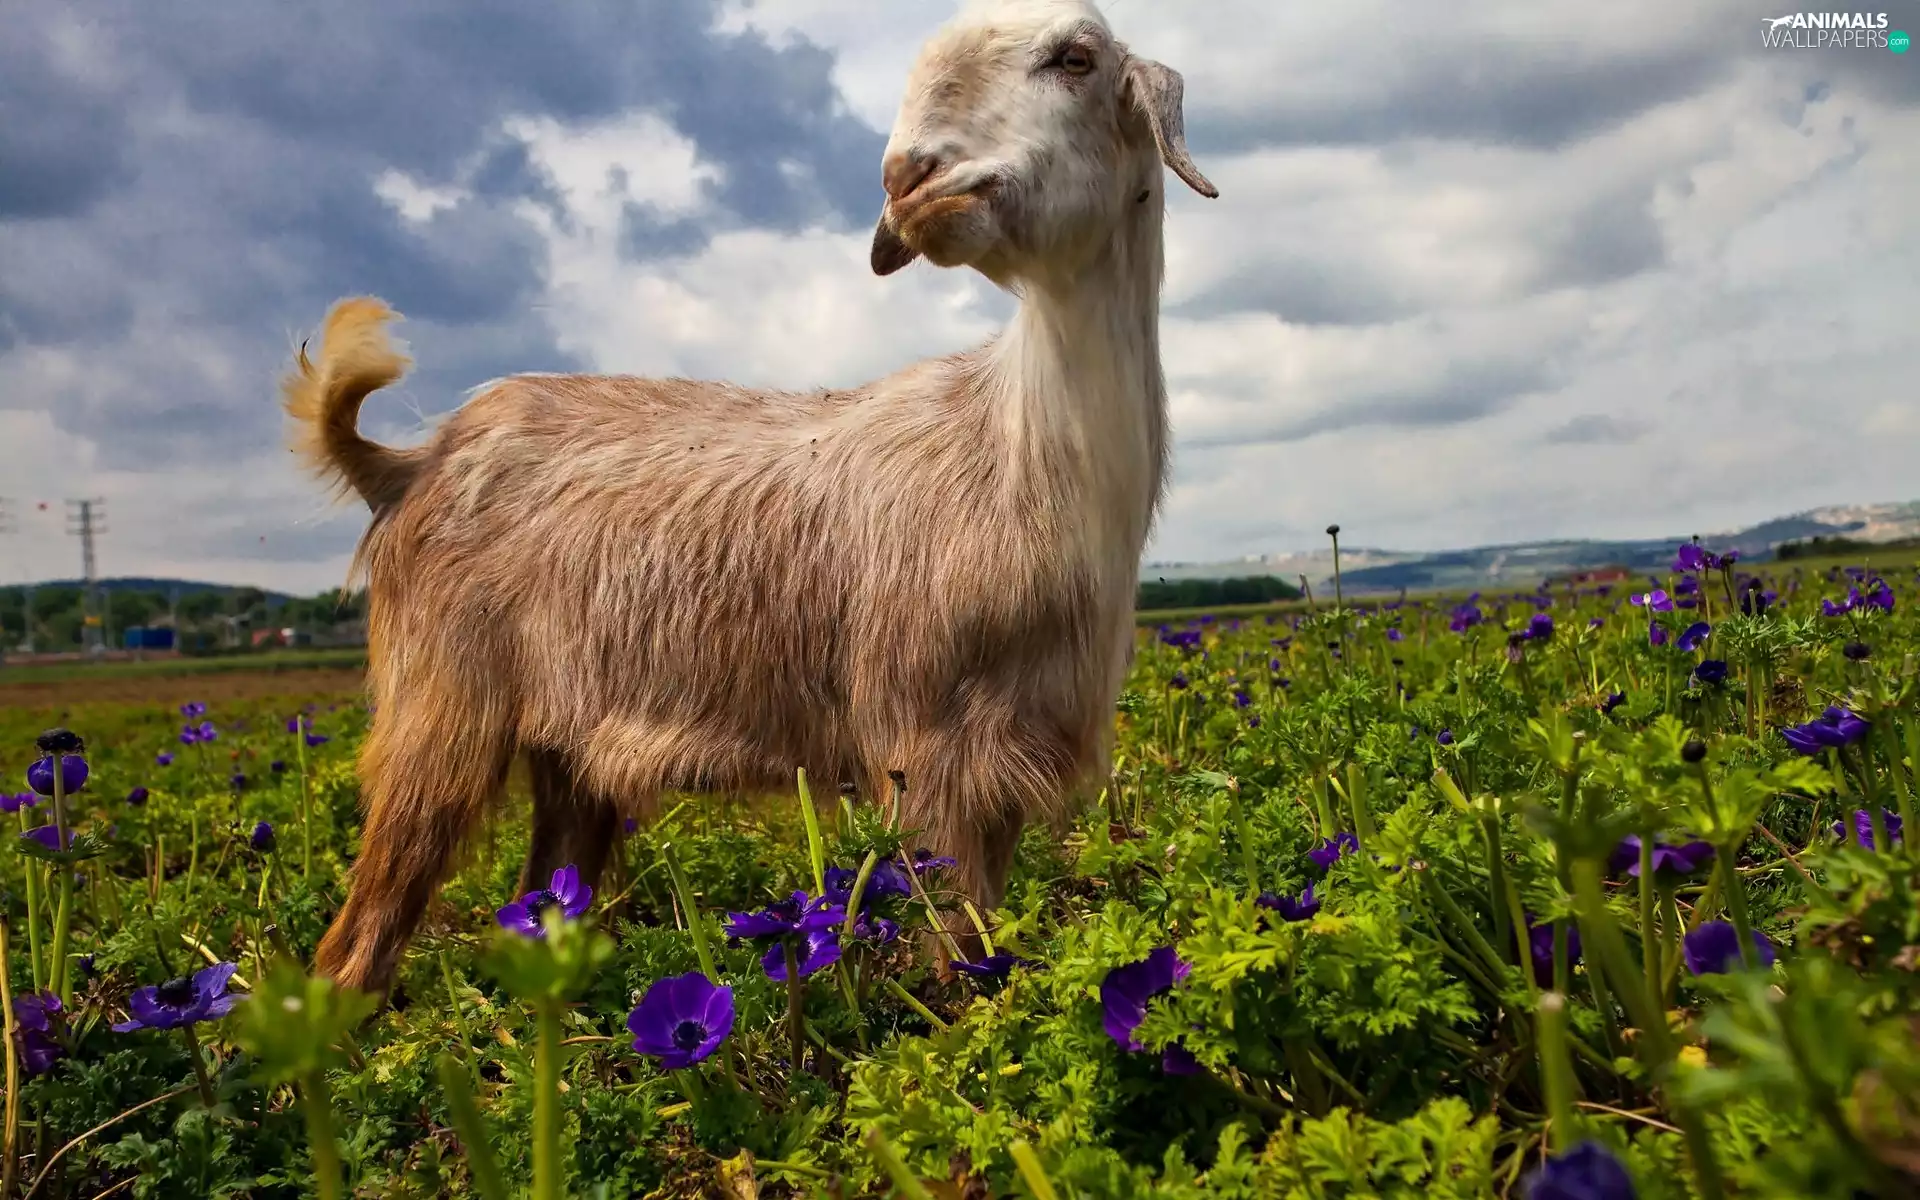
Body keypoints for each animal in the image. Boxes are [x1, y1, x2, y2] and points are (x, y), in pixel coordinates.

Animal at [287, 0, 1216, 995]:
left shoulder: (1005, 765)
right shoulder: (922, 750)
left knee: (543, 893)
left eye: (1076, 58)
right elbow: (946, 961)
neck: (1014, 451)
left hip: (566, 751)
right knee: (359, 937)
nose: (910, 179)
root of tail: (407, 463)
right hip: (438, 708)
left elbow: (980, 948)